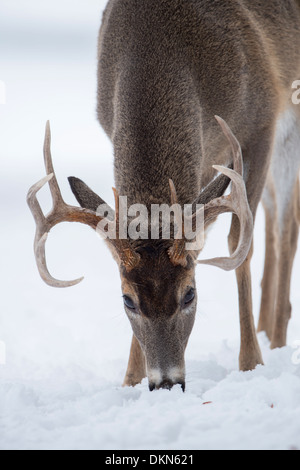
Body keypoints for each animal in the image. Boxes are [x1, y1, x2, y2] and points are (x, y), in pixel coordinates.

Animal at [27, 0, 300, 392]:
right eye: (127, 300)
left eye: (190, 293)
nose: (167, 382)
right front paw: (130, 379)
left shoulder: (261, 121)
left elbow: (238, 244)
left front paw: (251, 364)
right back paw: (266, 330)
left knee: (284, 226)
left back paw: (275, 341)